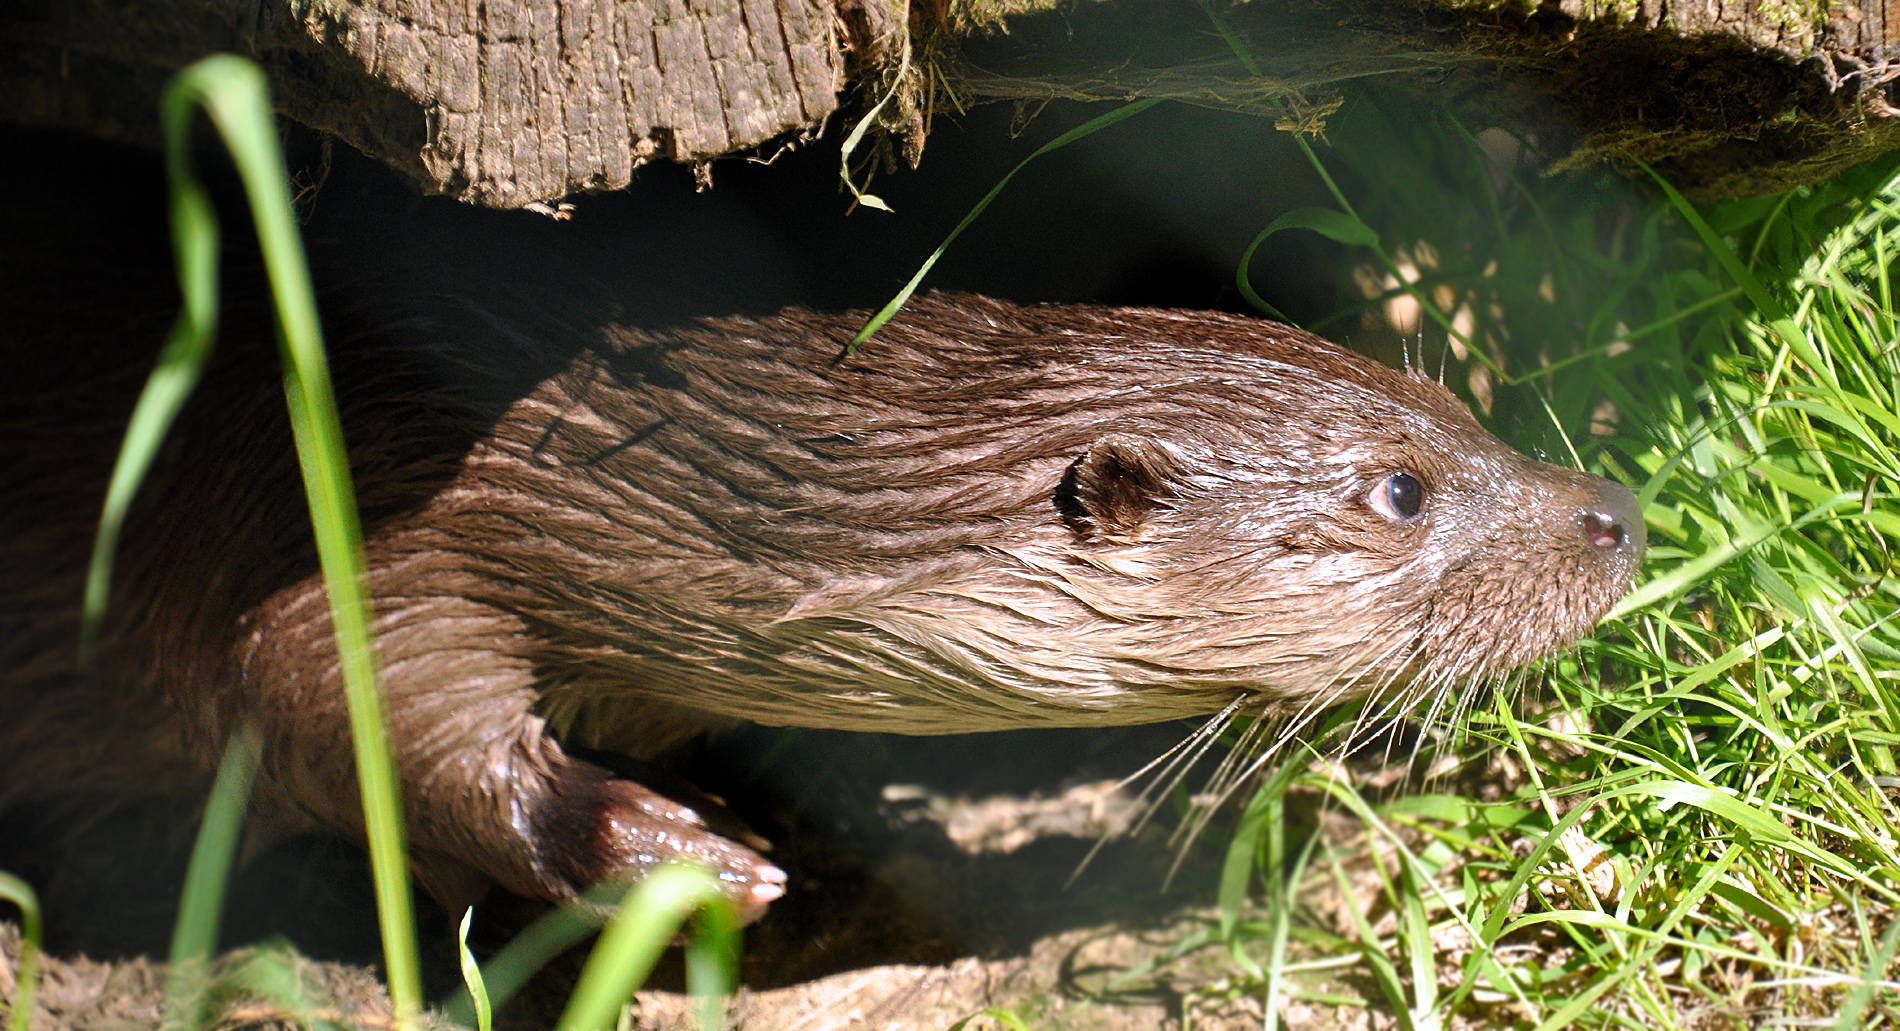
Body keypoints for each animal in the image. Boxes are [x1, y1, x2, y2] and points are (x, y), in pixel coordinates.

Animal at [0, 284, 1641, 918]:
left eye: (1456, 408)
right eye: (1402, 490)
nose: (1613, 514)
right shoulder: (329, 524)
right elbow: (322, 701)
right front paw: (675, 851)